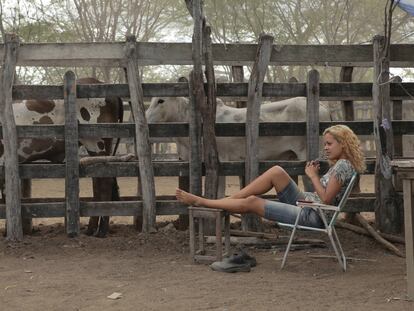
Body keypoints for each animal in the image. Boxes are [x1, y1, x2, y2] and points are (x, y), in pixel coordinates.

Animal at [0, 77, 123, 236]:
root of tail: (100, 82)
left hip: (97, 144)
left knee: (105, 182)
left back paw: (101, 231)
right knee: (97, 183)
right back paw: (91, 228)